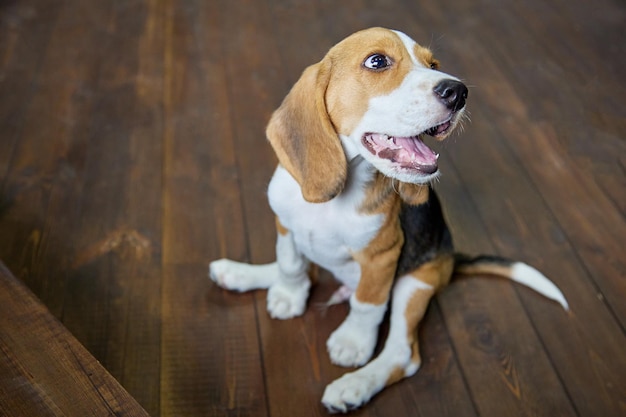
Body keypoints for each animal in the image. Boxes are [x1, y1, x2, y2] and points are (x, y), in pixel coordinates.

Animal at [208, 27, 564, 412]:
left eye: (433, 64)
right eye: (377, 61)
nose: (458, 92)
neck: (337, 199)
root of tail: (451, 258)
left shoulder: (382, 257)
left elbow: (366, 304)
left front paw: (352, 343)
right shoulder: (285, 225)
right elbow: (291, 264)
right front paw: (290, 294)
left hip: (416, 284)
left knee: (402, 354)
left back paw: (354, 386)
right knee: (311, 269)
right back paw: (237, 273)